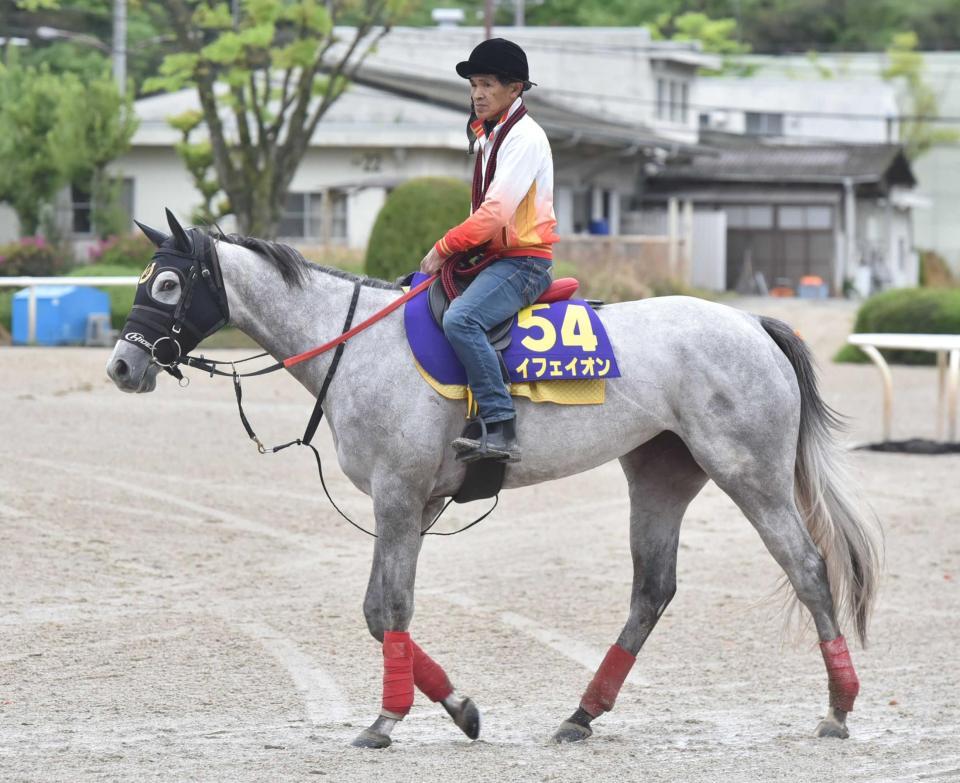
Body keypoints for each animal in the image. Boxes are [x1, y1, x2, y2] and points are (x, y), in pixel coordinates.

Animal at [107, 213, 884, 748]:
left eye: (168, 283)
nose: (121, 365)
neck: (360, 343)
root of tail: (751, 321)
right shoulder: (415, 505)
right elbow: (384, 611)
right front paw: (457, 708)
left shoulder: (397, 498)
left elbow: (387, 608)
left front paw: (387, 718)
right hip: (660, 476)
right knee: (652, 592)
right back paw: (580, 715)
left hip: (750, 476)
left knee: (808, 567)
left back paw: (839, 707)